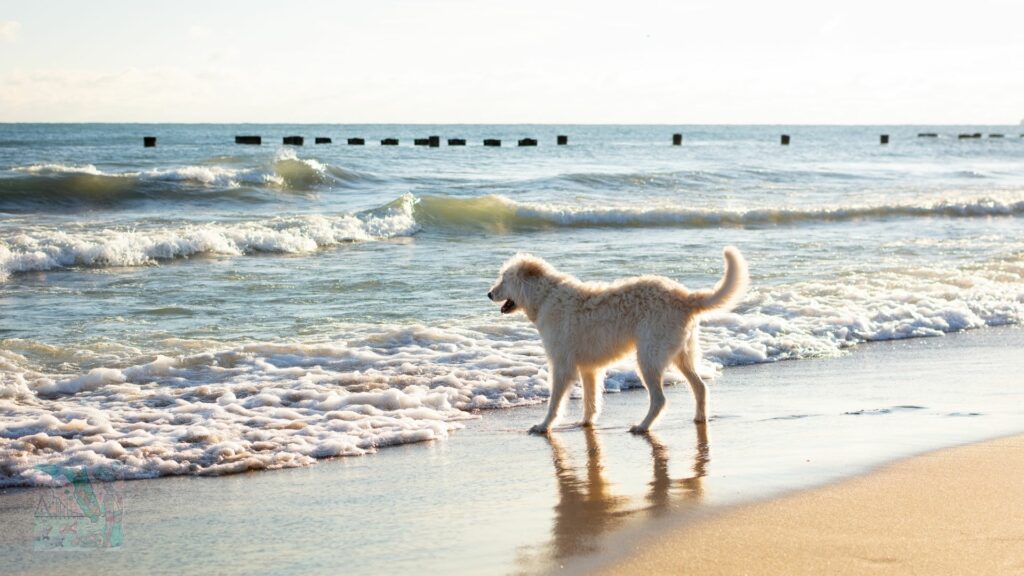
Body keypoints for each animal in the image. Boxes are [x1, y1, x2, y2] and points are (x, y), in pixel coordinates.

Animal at [487, 245, 745, 430]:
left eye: (504, 278)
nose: (489, 293)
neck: (545, 296)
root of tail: (684, 297)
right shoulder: (589, 369)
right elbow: (590, 400)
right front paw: (586, 423)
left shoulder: (561, 366)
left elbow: (555, 402)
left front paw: (543, 426)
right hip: (682, 355)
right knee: (700, 388)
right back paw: (700, 418)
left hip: (648, 358)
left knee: (659, 399)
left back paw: (642, 427)